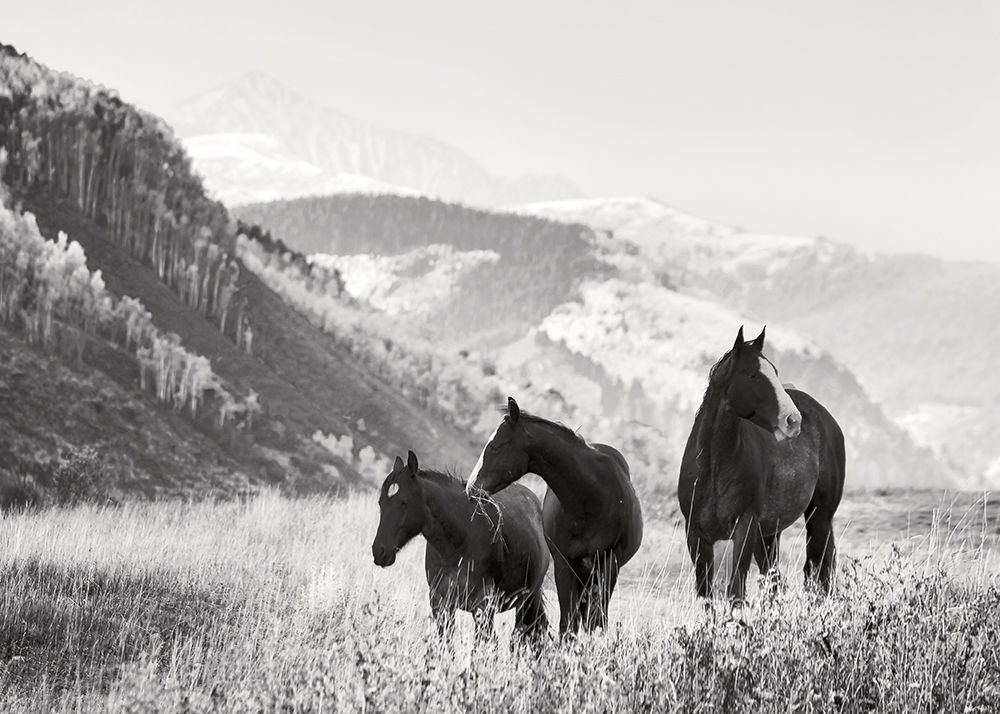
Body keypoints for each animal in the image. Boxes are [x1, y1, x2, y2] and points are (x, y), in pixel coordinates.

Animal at [372, 450, 550, 644]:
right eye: (380, 502)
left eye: (404, 501)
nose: (379, 551)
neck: (459, 543)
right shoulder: (440, 603)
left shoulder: (482, 605)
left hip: (528, 600)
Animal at [465, 397, 643, 636]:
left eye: (497, 447)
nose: (471, 488)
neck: (592, 500)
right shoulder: (564, 566)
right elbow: (568, 624)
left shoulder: (609, 563)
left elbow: (596, 621)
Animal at [678, 326, 846, 603]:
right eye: (752, 375)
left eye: (774, 372)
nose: (793, 420)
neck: (713, 469)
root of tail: (826, 418)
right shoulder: (697, 537)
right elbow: (706, 595)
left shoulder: (744, 529)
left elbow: (735, 591)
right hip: (769, 535)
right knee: (775, 579)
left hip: (819, 518)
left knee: (816, 572)